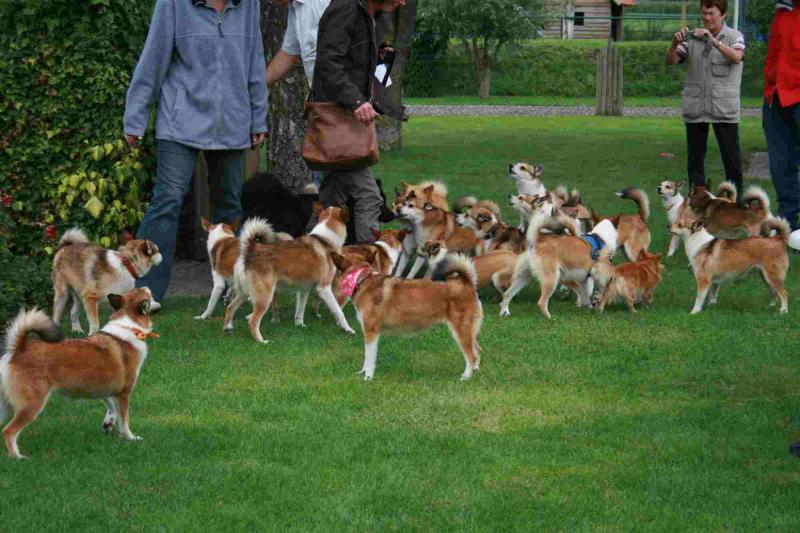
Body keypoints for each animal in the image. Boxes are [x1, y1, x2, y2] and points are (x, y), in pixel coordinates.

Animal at [1, 288, 156, 459]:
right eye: (146, 294)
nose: (147, 287)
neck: (129, 326)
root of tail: (18, 350)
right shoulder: (124, 393)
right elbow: (124, 420)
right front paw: (130, 437)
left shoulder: (105, 389)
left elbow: (111, 407)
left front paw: (108, 423)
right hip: (31, 405)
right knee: (8, 431)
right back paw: (17, 457)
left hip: (5, 405)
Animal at [224, 205, 356, 343]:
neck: (325, 240)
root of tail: (250, 250)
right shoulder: (324, 288)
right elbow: (339, 311)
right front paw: (347, 329)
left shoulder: (303, 290)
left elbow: (300, 310)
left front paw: (300, 325)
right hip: (264, 297)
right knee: (252, 322)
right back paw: (261, 341)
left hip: (244, 293)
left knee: (230, 308)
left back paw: (228, 328)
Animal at [331, 252, 483, 381]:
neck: (362, 279)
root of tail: (467, 283)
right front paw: (362, 372)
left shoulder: (371, 332)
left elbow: (369, 358)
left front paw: (367, 377)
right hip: (468, 331)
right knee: (477, 350)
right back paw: (475, 370)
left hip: (460, 332)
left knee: (471, 356)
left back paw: (465, 377)